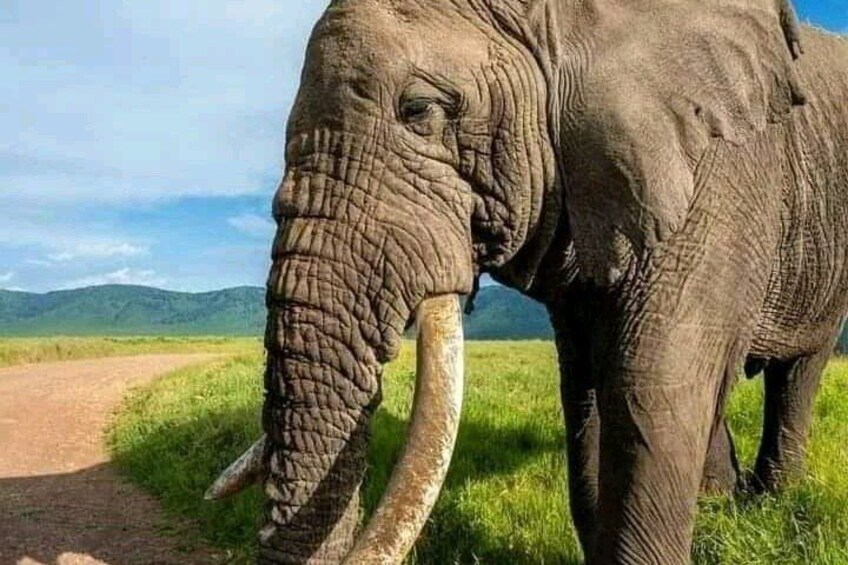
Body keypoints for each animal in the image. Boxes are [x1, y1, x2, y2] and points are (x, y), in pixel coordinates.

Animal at [207, 0, 848, 563]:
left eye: (420, 111)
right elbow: (588, 389)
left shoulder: (719, 169)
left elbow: (650, 386)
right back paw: (719, 498)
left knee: (797, 371)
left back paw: (770, 499)